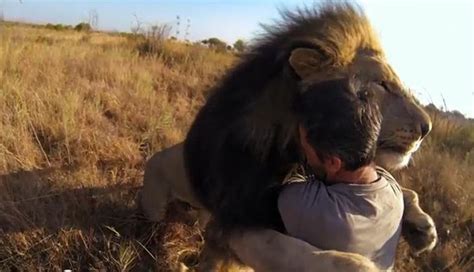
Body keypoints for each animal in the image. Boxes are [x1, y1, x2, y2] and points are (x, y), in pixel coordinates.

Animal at [140, 3, 436, 270]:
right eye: (383, 85)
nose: (427, 128)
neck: (292, 149)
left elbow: (405, 190)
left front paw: (424, 228)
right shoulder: (233, 216)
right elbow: (287, 249)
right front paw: (356, 265)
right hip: (155, 205)